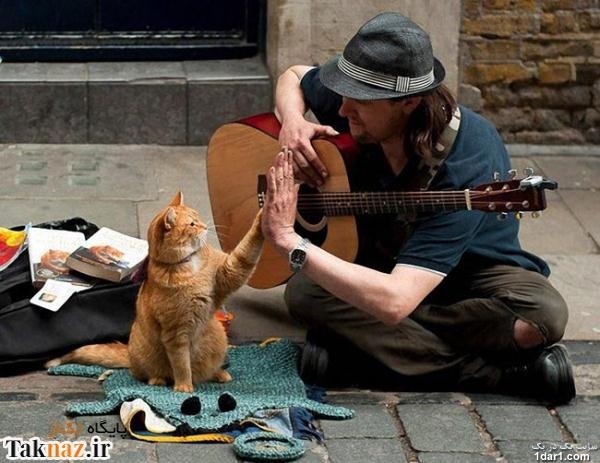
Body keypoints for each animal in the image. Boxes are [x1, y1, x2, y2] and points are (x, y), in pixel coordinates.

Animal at [47, 191, 262, 392]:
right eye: (192, 224)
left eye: (198, 217)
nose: (205, 226)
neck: (189, 264)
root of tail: (129, 352)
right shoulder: (175, 334)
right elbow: (182, 365)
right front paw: (184, 387)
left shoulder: (230, 272)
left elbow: (246, 250)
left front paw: (262, 216)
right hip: (147, 357)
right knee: (150, 374)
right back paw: (158, 380)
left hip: (218, 336)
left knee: (205, 371)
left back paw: (218, 373)